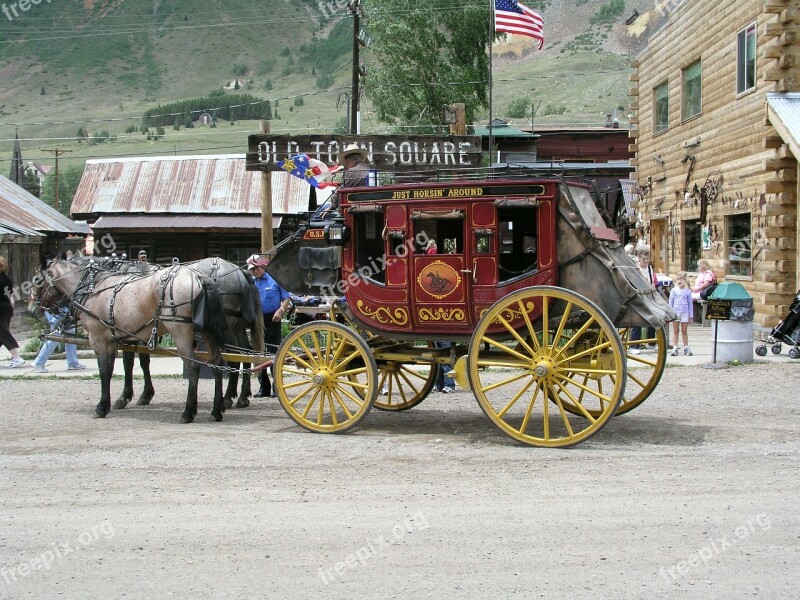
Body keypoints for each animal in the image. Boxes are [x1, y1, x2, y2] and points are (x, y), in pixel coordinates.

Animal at [39, 258, 228, 422]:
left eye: (38, 281)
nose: (38, 306)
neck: (94, 287)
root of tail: (199, 277)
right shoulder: (112, 340)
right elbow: (113, 369)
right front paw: (112, 402)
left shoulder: (98, 338)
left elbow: (104, 370)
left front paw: (101, 407)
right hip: (207, 331)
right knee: (217, 363)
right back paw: (216, 410)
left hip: (180, 332)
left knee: (194, 367)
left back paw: (188, 412)